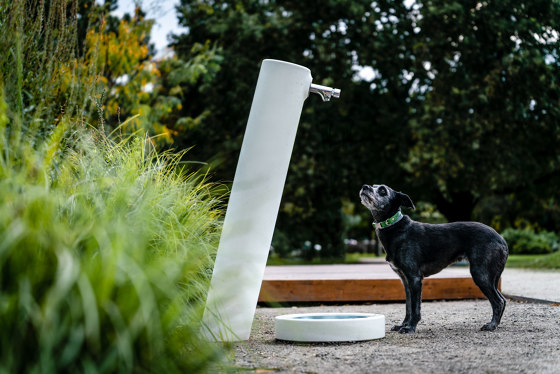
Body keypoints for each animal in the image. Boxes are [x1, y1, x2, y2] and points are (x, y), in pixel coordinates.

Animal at [360, 184, 510, 334]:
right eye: (373, 186)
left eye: (382, 190)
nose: (365, 187)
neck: (394, 226)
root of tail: (501, 239)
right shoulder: (405, 281)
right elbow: (408, 306)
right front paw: (403, 324)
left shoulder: (414, 278)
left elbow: (415, 308)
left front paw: (410, 327)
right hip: (490, 277)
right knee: (502, 300)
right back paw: (496, 324)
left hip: (480, 275)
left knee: (498, 302)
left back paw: (491, 325)